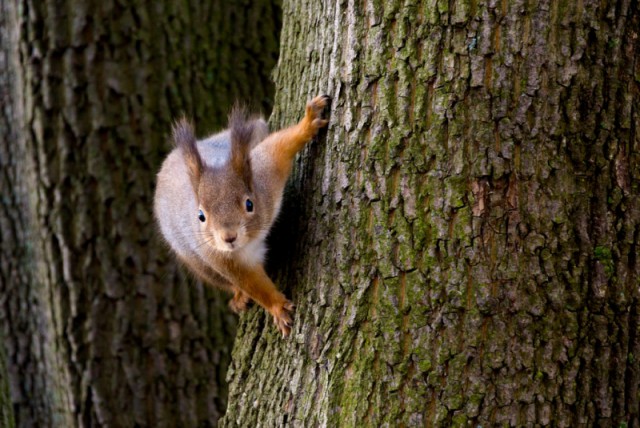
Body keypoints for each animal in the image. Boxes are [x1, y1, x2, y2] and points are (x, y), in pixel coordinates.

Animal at [155, 95, 330, 336]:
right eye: (201, 216)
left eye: (249, 204)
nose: (229, 237)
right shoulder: (222, 259)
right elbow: (252, 284)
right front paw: (278, 308)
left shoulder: (266, 173)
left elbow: (280, 145)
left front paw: (309, 121)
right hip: (196, 262)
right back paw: (238, 296)